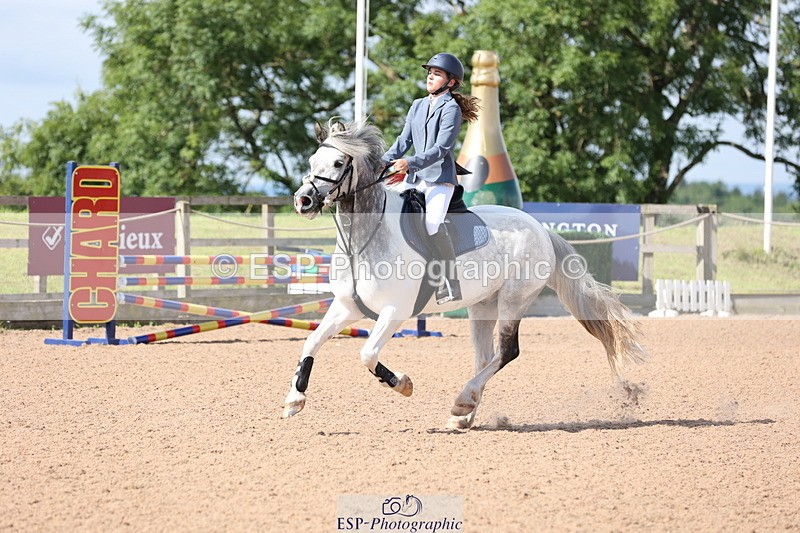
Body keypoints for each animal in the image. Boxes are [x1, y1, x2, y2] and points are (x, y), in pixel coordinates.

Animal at [283, 119, 646, 429]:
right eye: (313, 159)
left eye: (338, 163)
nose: (303, 201)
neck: (366, 238)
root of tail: (540, 228)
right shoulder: (347, 306)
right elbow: (312, 340)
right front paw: (294, 399)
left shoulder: (395, 311)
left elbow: (367, 353)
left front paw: (403, 384)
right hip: (482, 304)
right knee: (484, 356)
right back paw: (465, 413)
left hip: (514, 299)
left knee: (507, 352)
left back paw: (463, 401)